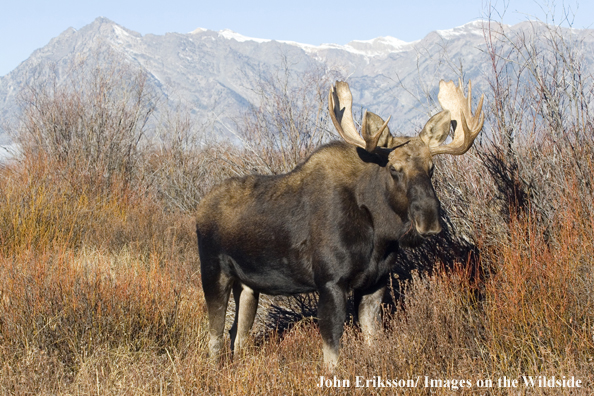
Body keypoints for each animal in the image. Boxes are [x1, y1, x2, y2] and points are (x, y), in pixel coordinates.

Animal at [194, 79, 480, 370]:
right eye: (394, 169)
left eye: (431, 168)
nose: (429, 220)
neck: (378, 237)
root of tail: (200, 208)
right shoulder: (330, 282)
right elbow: (332, 354)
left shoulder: (375, 282)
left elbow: (373, 341)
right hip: (214, 272)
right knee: (215, 337)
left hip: (248, 285)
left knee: (238, 335)